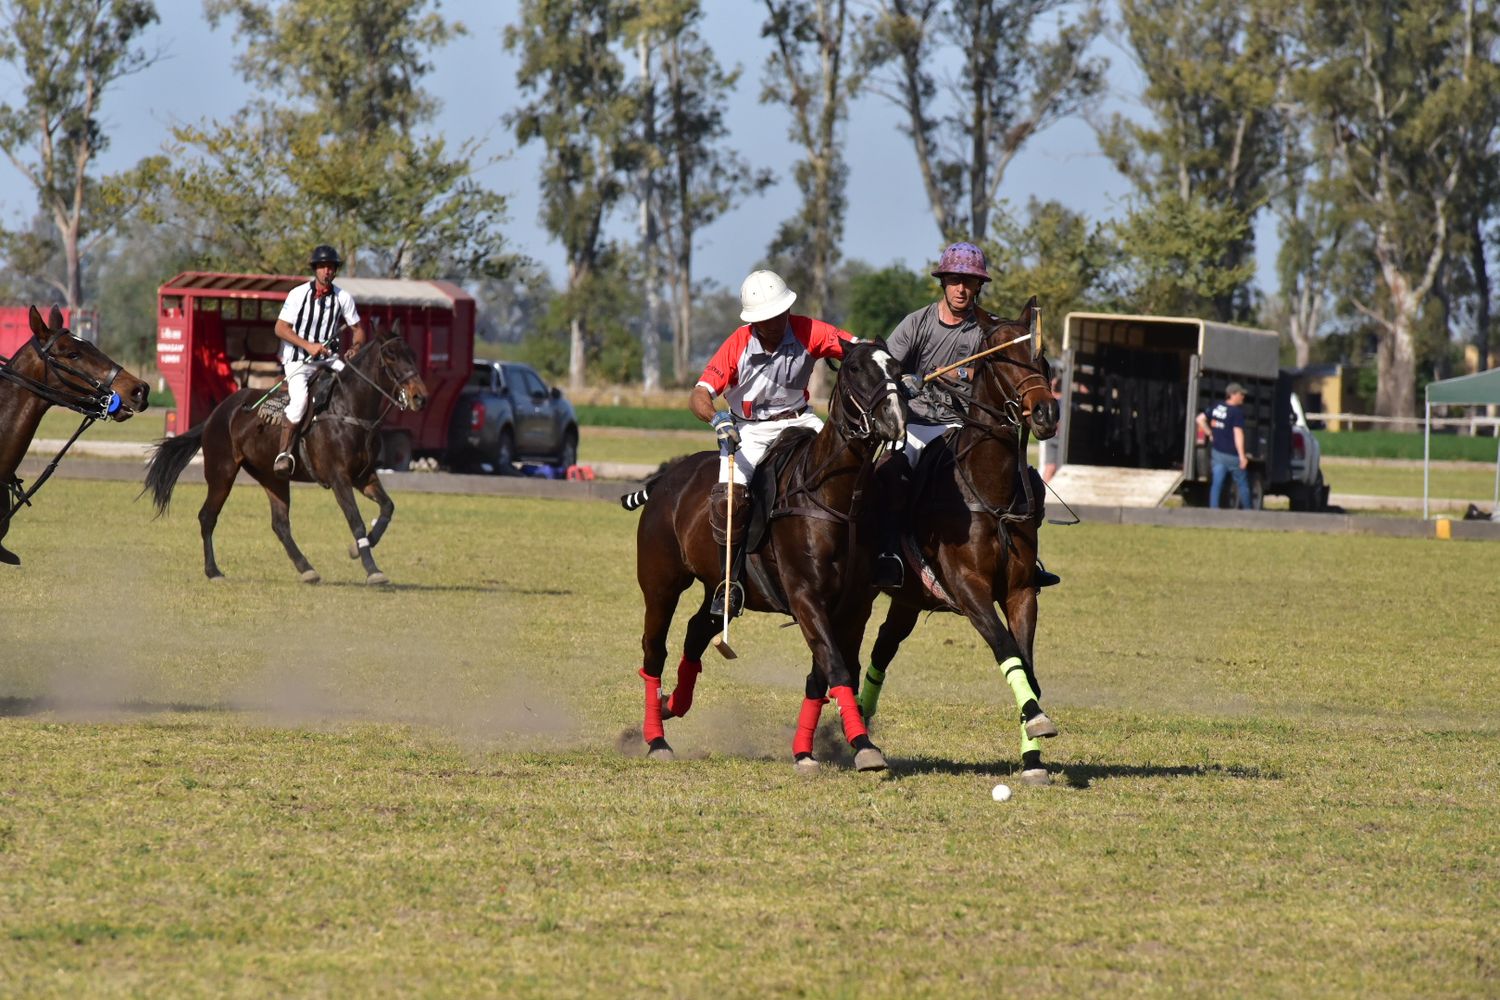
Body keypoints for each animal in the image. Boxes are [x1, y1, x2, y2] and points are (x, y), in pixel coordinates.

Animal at [143, 320, 429, 587]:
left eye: (413, 353)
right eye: (390, 355)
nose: (420, 397)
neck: (349, 411)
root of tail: (216, 414)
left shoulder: (364, 476)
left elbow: (388, 507)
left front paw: (356, 550)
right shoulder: (339, 478)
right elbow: (355, 520)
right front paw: (372, 570)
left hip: (273, 477)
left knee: (280, 523)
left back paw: (307, 569)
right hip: (222, 472)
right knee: (207, 516)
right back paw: (213, 571)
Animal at [624, 340, 900, 773]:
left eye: (899, 369)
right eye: (855, 369)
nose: (893, 418)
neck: (835, 498)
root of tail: (664, 478)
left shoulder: (855, 604)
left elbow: (830, 672)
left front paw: (818, 748)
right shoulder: (806, 595)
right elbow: (835, 665)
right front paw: (858, 745)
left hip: (717, 584)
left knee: (698, 629)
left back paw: (673, 703)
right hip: (661, 583)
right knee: (654, 650)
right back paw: (656, 738)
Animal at [858, 301, 1068, 785]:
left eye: (1041, 358)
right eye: (1000, 358)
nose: (1046, 413)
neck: (990, 490)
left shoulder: (1021, 590)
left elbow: (1026, 663)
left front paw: (1033, 755)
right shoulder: (968, 587)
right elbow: (1005, 648)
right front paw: (1037, 721)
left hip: (909, 599)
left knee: (883, 648)